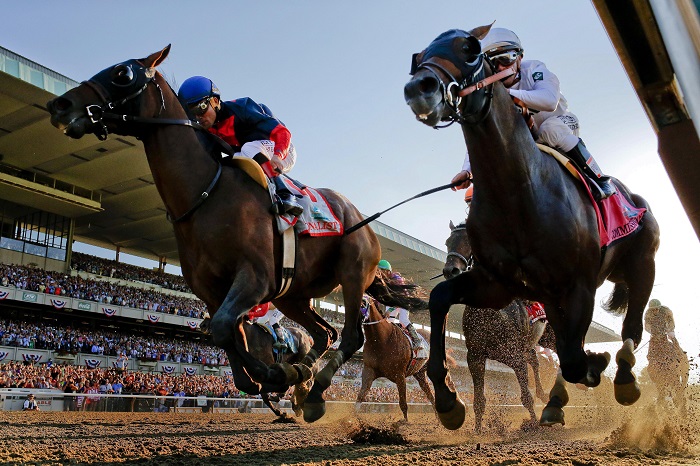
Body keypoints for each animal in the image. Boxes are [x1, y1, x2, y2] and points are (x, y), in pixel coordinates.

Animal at [442, 220, 556, 432]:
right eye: (447, 242)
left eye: (469, 240)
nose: (450, 270)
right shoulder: (476, 356)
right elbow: (479, 400)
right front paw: (478, 431)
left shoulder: (515, 356)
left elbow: (526, 397)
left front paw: (534, 425)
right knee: (535, 360)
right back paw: (544, 393)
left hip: (551, 338)